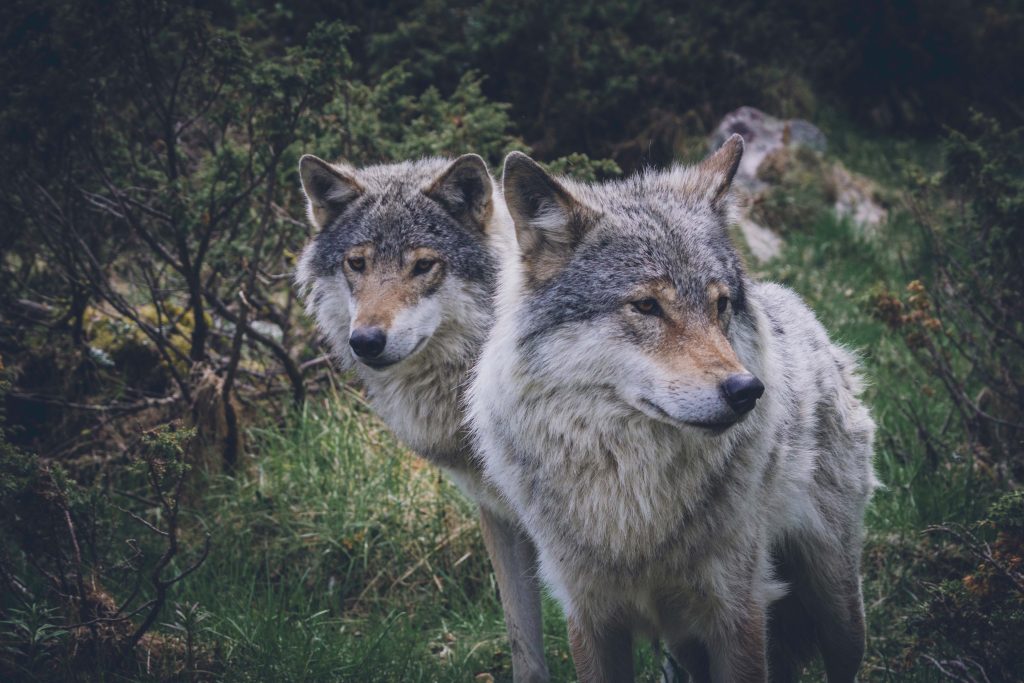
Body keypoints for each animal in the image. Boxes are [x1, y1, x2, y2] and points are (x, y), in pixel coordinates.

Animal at [467, 136, 877, 682]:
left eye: (720, 304)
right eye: (646, 306)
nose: (748, 390)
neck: (635, 505)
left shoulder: (739, 614)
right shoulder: (591, 621)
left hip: (837, 607)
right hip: (689, 646)